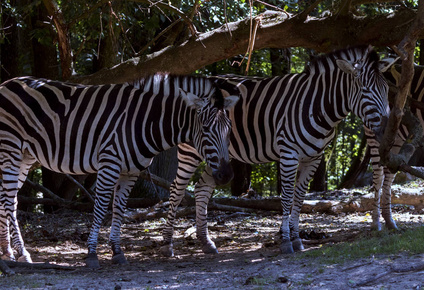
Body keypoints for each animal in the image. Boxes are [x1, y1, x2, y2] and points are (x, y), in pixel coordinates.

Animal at [0, 74, 238, 268]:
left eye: (229, 130)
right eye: (206, 129)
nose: (226, 175)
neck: (144, 122)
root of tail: (7, 83)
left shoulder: (130, 172)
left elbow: (119, 208)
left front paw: (116, 251)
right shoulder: (109, 164)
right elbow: (101, 207)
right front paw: (92, 254)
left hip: (25, 157)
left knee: (6, 199)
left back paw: (8, 253)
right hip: (10, 150)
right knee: (9, 201)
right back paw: (21, 253)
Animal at [160, 45, 390, 256]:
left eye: (387, 89)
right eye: (365, 90)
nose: (387, 129)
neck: (318, 106)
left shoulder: (314, 158)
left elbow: (299, 197)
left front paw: (297, 239)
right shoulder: (289, 154)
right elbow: (286, 197)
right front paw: (286, 241)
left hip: (217, 156)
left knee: (201, 189)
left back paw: (206, 242)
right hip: (192, 150)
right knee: (176, 189)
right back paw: (168, 244)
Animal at [364, 63, 424, 231]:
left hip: (397, 137)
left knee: (390, 173)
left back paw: (389, 220)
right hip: (374, 134)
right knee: (378, 175)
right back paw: (376, 222)